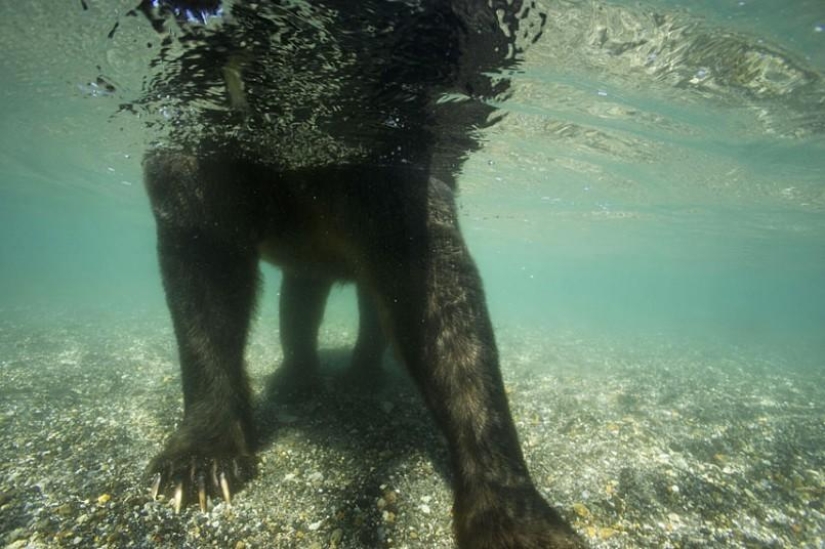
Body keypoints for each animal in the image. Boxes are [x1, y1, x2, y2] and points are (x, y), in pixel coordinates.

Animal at [134, 0, 586, 547]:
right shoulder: (200, 155)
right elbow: (205, 282)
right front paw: (198, 463)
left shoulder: (391, 173)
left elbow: (442, 315)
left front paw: (514, 517)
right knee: (301, 296)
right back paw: (298, 378)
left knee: (370, 305)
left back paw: (361, 376)